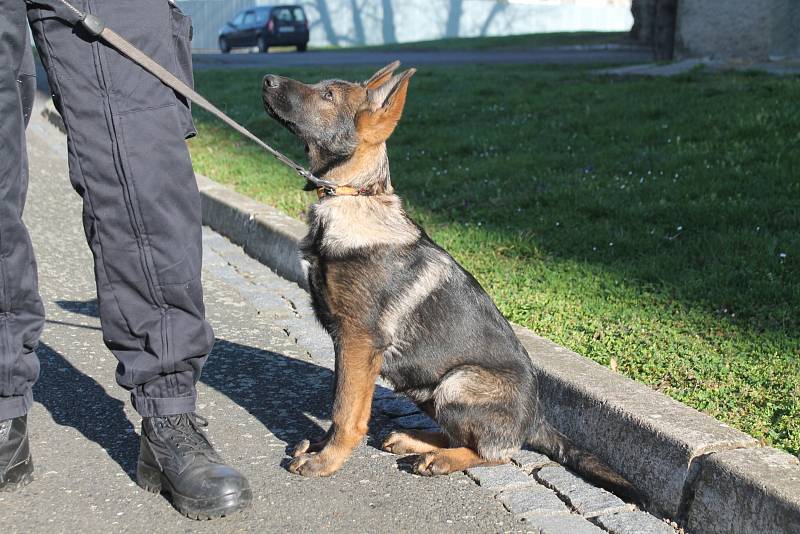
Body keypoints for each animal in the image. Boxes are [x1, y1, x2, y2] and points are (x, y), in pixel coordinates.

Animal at [262, 63, 636, 502]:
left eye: (328, 97)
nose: (266, 80)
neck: (354, 196)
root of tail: (536, 421)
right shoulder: (347, 345)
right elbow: (342, 399)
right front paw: (322, 448)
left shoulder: (358, 340)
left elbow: (345, 410)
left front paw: (326, 461)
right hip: (427, 386)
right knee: (467, 437)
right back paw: (414, 440)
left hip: (457, 383)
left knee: (497, 453)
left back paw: (439, 459)